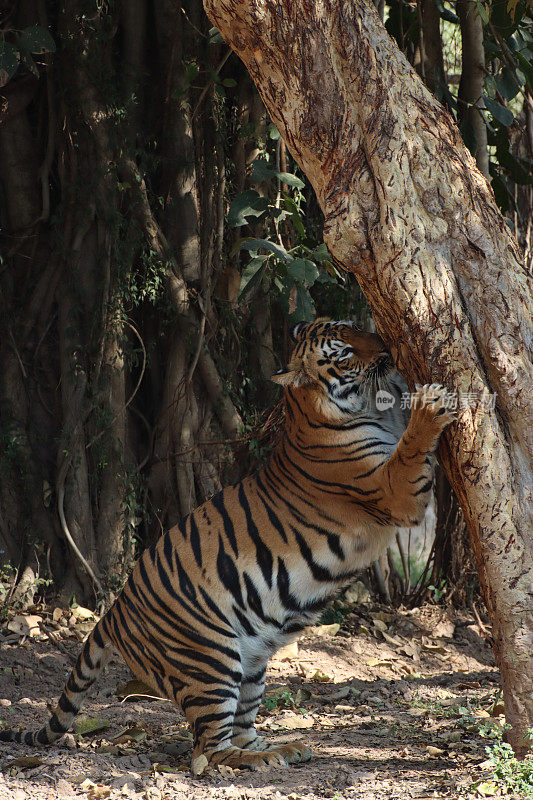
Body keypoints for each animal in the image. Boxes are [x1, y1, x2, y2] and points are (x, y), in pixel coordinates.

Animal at [1, 318, 454, 776]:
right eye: (344, 353)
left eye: (353, 327)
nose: (385, 351)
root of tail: (115, 612)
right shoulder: (394, 490)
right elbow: (411, 448)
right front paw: (431, 404)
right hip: (210, 659)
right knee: (207, 750)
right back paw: (264, 758)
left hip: (252, 664)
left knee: (240, 728)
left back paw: (286, 748)